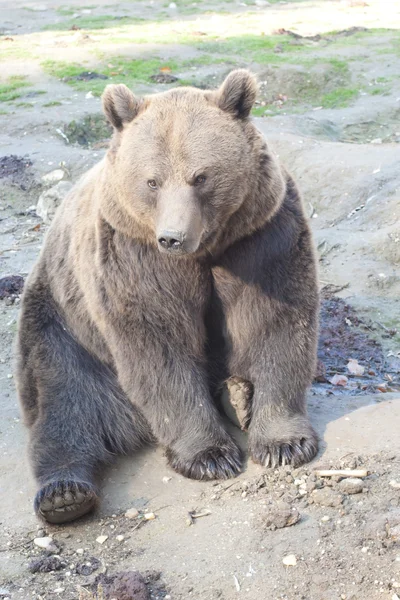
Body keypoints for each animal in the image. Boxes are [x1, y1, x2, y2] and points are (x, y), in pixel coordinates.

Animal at [17, 69, 320, 520]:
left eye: (201, 176)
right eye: (152, 181)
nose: (173, 237)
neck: (206, 250)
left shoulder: (259, 238)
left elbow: (274, 321)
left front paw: (285, 444)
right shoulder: (133, 256)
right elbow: (159, 346)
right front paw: (210, 456)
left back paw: (237, 396)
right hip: (59, 318)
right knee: (61, 399)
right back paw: (65, 494)